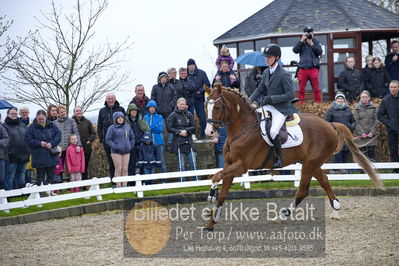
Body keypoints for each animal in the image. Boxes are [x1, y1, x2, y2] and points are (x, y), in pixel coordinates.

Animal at [205, 84, 382, 231]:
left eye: (218, 106)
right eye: (206, 105)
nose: (209, 132)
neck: (243, 128)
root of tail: (330, 125)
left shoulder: (241, 166)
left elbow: (215, 177)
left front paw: (211, 195)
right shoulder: (230, 164)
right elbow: (222, 192)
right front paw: (212, 222)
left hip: (309, 164)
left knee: (303, 191)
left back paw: (281, 216)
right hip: (312, 163)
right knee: (324, 181)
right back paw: (335, 209)